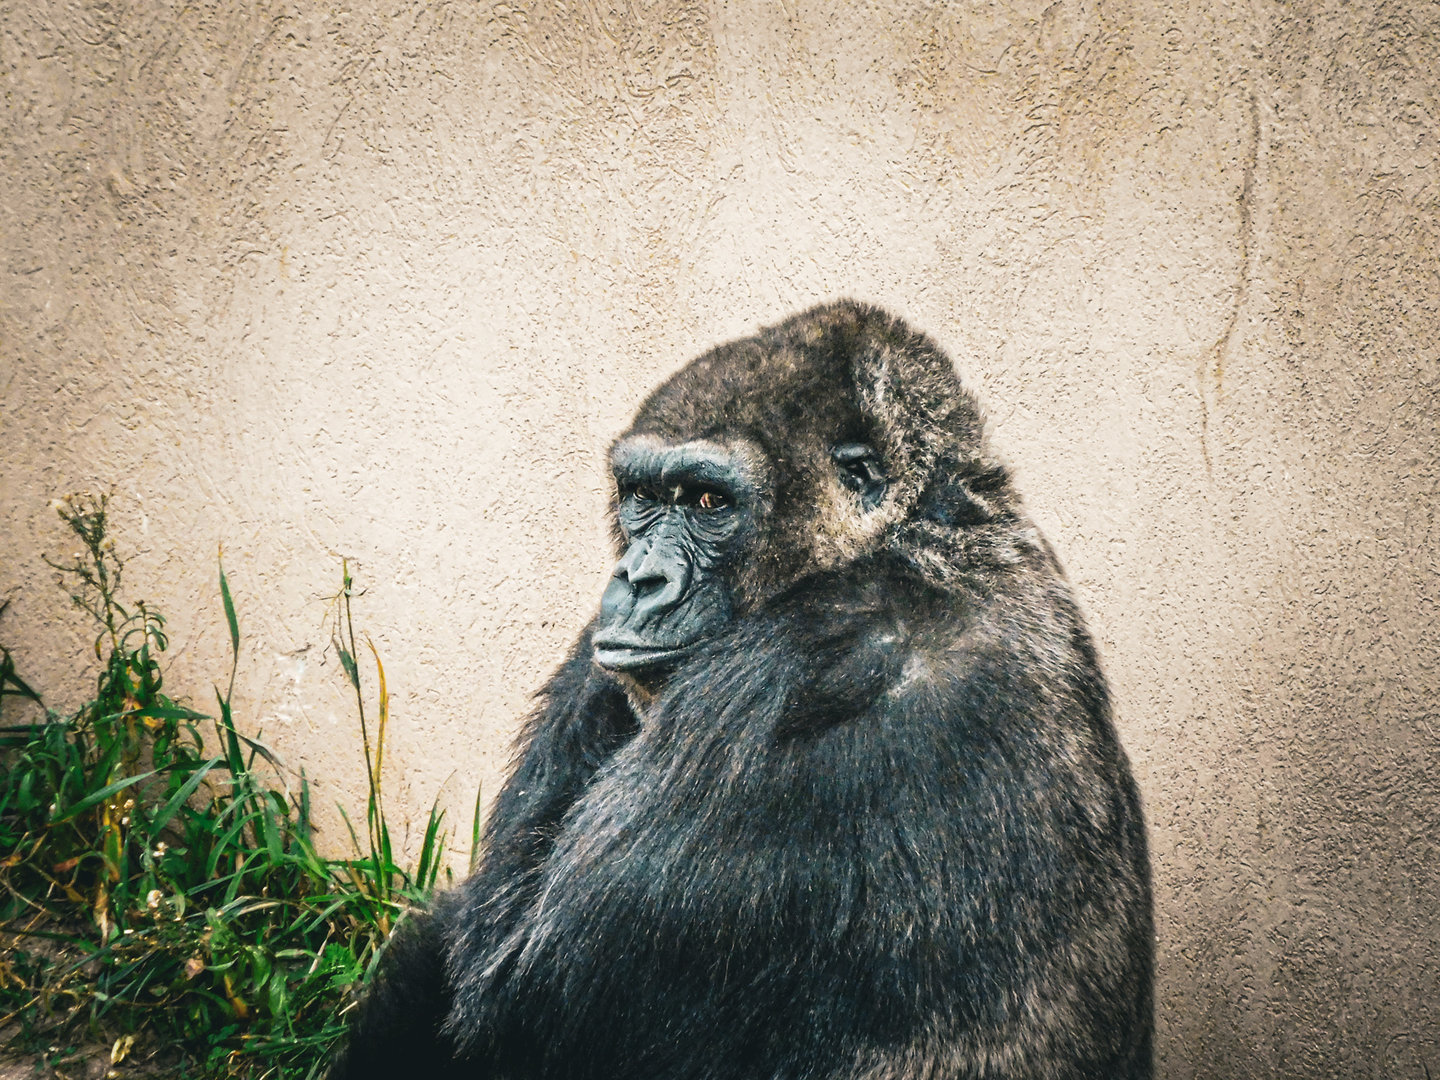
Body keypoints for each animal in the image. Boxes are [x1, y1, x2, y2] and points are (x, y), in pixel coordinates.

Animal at [329, 300, 1154, 1080]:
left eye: (706, 503)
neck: (912, 530)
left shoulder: (773, 693)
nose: (639, 578)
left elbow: (513, 998)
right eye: (642, 496)